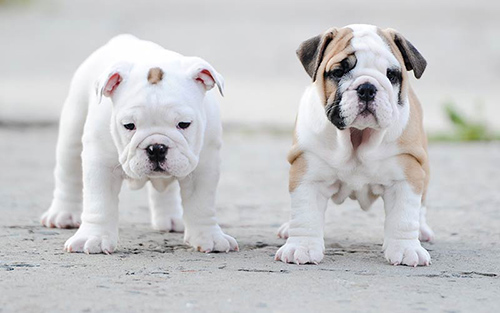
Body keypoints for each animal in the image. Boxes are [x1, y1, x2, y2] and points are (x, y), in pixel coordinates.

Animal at [41, 34, 238, 254]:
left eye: (184, 124)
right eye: (129, 125)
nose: (157, 148)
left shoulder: (204, 167)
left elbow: (202, 204)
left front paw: (209, 237)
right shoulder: (100, 164)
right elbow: (99, 203)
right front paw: (94, 238)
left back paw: (171, 219)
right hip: (72, 132)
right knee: (68, 174)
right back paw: (62, 214)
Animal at [276, 24, 436, 266]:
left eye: (391, 74)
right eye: (338, 72)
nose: (367, 87)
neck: (357, 137)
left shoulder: (407, 173)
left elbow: (404, 217)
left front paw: (407, 249)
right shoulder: (307, 171)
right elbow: (305, 213)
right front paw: (301, 247)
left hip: (423, 167)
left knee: (422, 206)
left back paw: (422, 231)